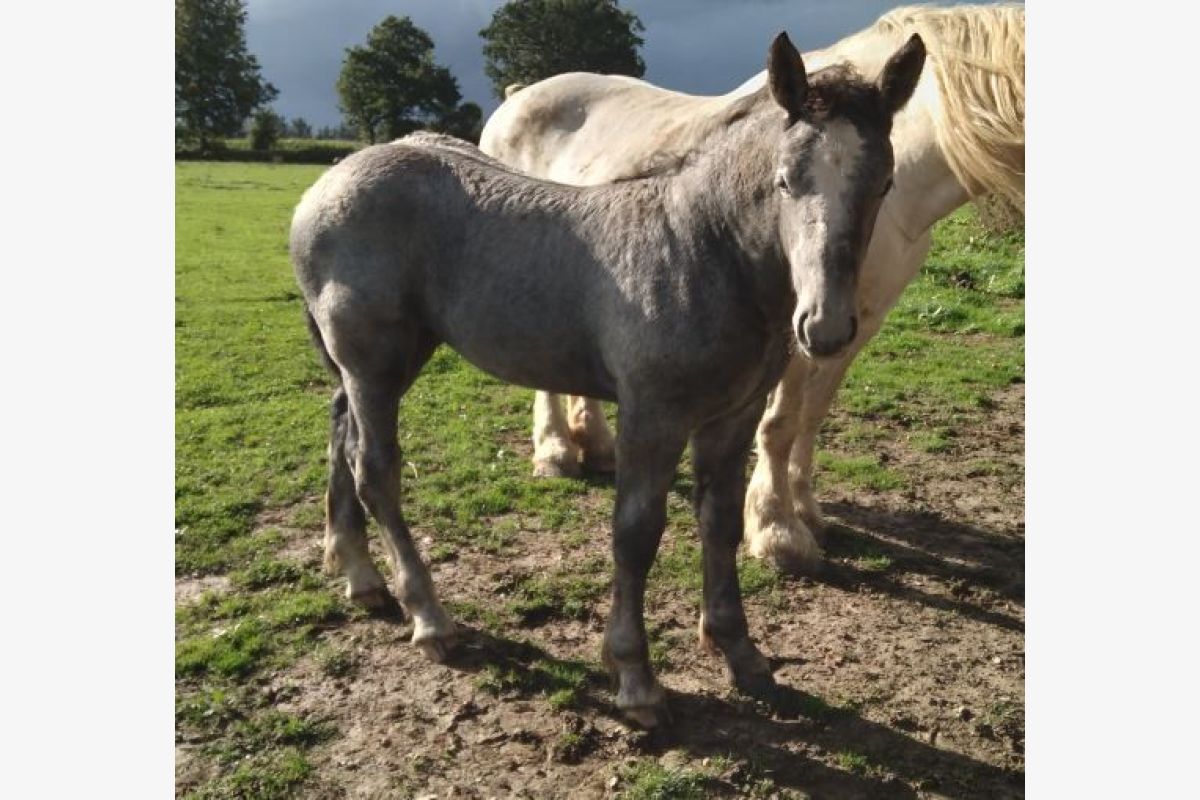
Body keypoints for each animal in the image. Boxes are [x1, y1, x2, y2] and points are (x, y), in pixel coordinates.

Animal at [477, 3, 1022, 573]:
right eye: (782, 180)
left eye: (884, 183)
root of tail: (519, 97)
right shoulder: (798, 327)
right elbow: (779, 423)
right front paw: (776, 531)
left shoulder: (854, 324)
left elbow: (811, 416)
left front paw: (805, 513)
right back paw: (556, 452)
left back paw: (598, 446)